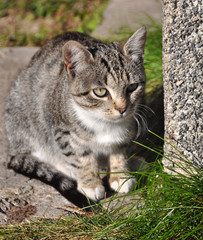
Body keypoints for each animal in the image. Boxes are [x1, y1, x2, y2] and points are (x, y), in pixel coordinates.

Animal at [4, 27, 147, 204]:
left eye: (132, 87)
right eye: (100, 91)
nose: (122, 108)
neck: (103, 123)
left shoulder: (128, 131)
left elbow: (120, 151)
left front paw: (121, 176)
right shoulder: (63, 132)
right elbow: (81, 158)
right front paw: (91, 185)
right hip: (23, 120)